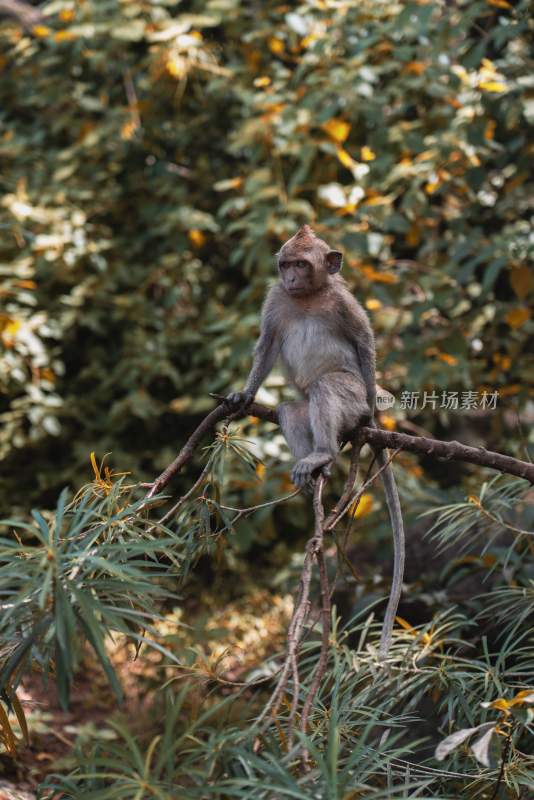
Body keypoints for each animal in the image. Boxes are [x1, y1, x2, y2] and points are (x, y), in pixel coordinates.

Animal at [226, 223, 406, 656]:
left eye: (302, 265)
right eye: (286, 264)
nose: (291, 278)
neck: (307, 299)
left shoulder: (344, 302)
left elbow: (364, 342)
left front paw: (375, 410)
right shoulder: (275, 299)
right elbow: (267, 344)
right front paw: (246, 393)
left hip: (351, 400)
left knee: (327, 388)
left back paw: (325, 452)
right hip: (305, 409)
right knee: (292, 410)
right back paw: (312, 469)